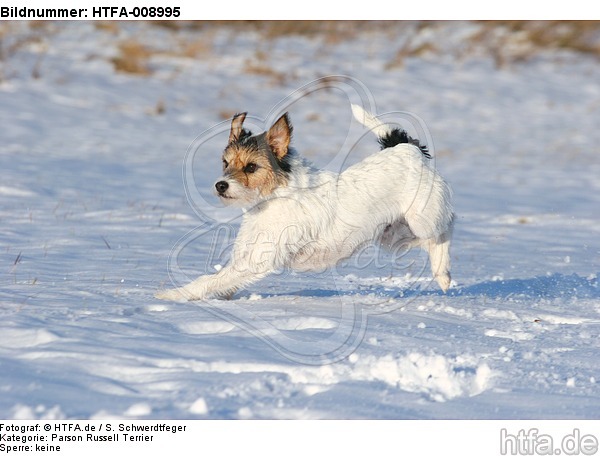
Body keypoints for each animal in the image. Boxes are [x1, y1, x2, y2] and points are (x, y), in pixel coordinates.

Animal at [156, 105, 454, 302]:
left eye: (251, 167)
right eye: (225, 163)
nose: (221, 185)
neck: (274, 196)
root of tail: (406, 149)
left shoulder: (257, 260)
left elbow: (208, 280)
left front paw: (172, 295)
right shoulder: (246, 255)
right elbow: (222, 281)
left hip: (422, 218)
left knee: (445, 230)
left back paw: (443, 273)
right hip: (393, 237)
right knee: (427, 242)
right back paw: (441, 273)